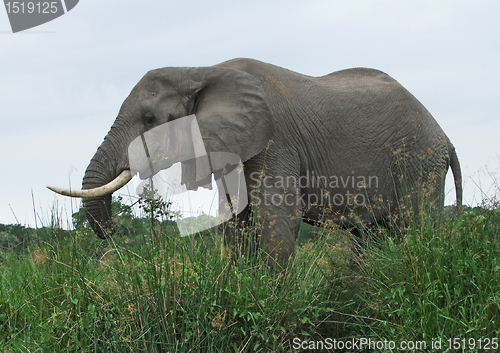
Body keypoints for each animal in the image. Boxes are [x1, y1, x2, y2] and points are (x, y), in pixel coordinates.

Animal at [48, 58, 462, 266]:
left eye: (150, 119)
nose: (116, 233)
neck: (201, 70)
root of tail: (445, 137)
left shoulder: (276, 139)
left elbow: (276, 219)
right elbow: (235, 221)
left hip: (419, 162)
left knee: (414, 226)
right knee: (373, 235)